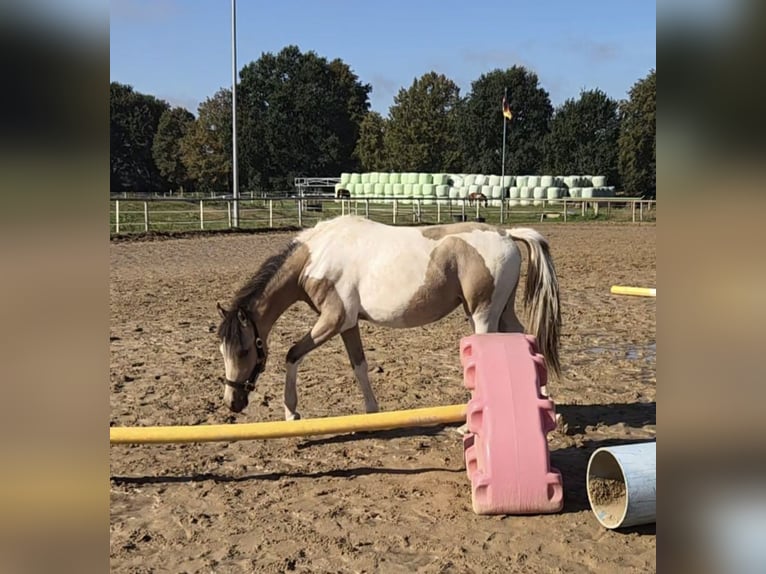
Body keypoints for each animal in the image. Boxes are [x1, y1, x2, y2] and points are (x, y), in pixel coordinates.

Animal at [216, 215, 561, 419]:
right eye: (222, 350)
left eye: (244, 350)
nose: (232, 402)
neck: (315, 257)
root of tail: (506, 234)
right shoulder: (348, 324)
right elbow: (359, 366)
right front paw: (372, 411)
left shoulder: (332, 320)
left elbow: (291, 354)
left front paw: (291, 413)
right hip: (503, 311)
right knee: (528, 340)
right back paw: (547, 409)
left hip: (483, 315)